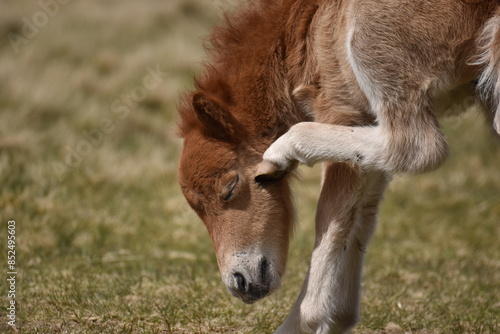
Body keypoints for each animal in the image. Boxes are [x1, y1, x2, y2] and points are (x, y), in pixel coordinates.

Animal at [178, 0, 498, 334]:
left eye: (230, 188)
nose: (238, 282)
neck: (306, 29)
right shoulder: (366, 133)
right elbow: (360, 217)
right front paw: (339, 315)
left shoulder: (342, 110)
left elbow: (330, 216)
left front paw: (303, 320)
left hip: (368, 38)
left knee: (419, 146)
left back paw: (281, 148)